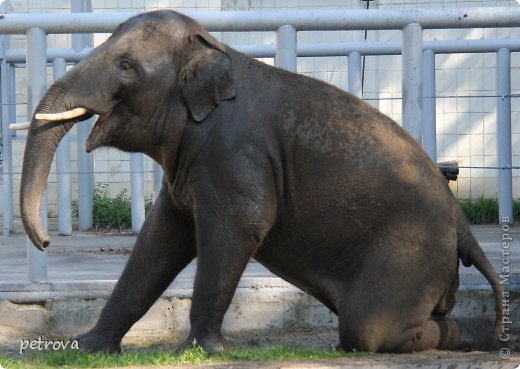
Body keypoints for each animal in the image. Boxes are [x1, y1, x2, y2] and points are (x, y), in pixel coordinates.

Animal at [21, 9, 504, 354]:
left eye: (125, 66)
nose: (45, 242)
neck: (218, 50)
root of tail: (463, 227)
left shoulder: (234, 154)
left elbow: (237, 227)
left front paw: (202, 351)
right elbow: (161, 239)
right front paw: (84, 348)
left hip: (411, 254)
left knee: (368, 327)